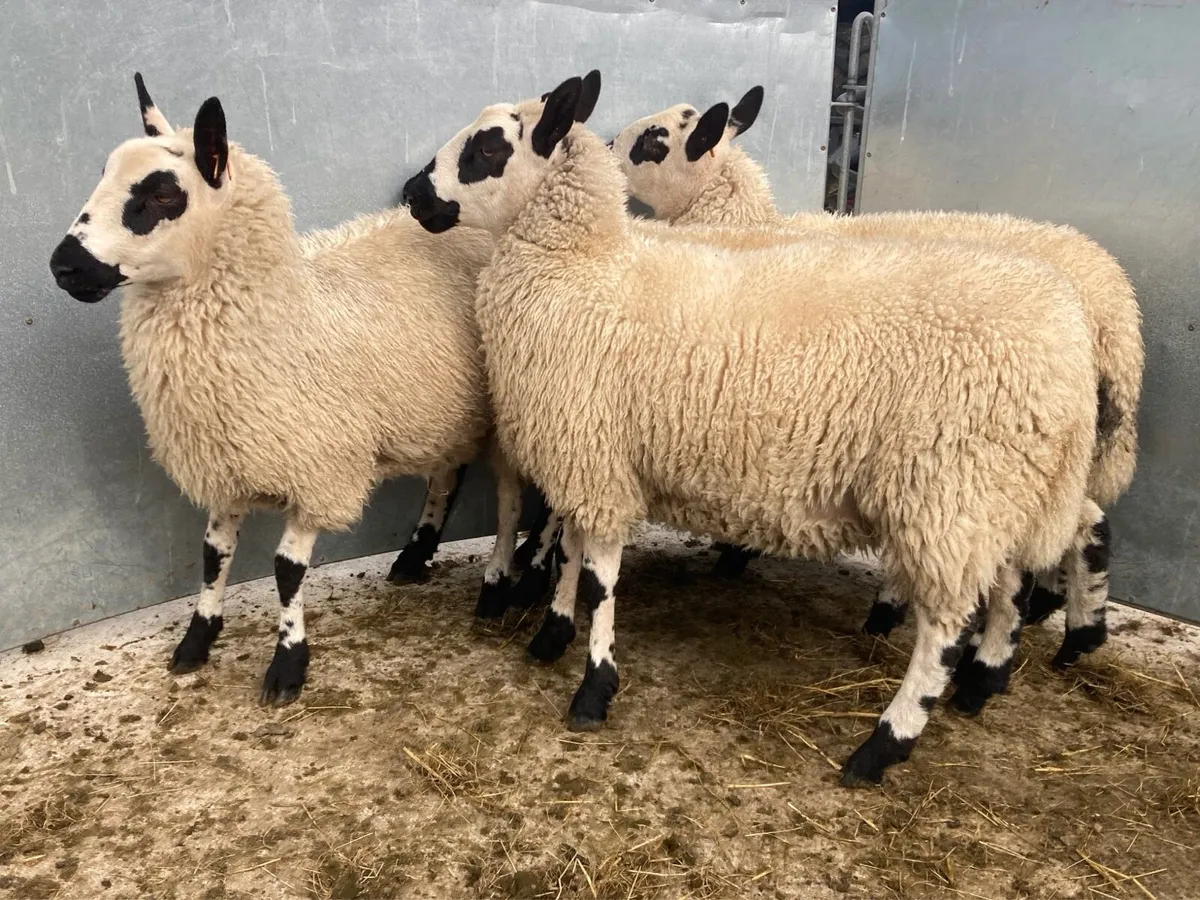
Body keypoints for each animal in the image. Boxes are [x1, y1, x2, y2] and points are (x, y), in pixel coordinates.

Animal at [48, 74, 532, 705]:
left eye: (161, 195)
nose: (63, 266)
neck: (283, 314)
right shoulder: (229, 461)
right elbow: (213, 556)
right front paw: (196, 641)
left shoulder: (319, 469)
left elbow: (285, 571)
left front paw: (287, 665)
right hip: (443, 408)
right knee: (447, 472)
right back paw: (414, 553)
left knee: (508, 499)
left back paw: (494, 583)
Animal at [610, 87, 1143, 683]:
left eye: (654, 140)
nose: (607, 145)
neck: (738, 220)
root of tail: (1115, 313)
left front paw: (736, 552)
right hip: (1051, 463)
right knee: (1080, 527)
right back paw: (1070, 632)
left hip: (986, 464)